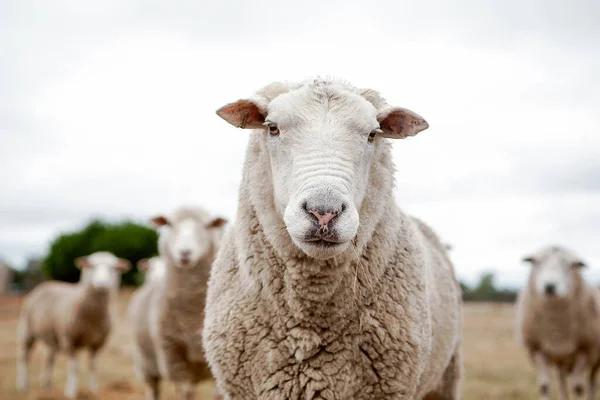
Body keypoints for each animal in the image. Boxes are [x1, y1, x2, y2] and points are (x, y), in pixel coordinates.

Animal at [15, 252, 130, 398]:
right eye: (90, 266)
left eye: (114, 268)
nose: (102, 283)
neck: (92, 319)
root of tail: (45, 284)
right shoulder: (69, 340)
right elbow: (74, 368)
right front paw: (71, 392)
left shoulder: (97, 343)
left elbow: (93, 366)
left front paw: (93, 390)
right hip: (27, 331)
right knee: (24, 358)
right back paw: (22, 385)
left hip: (52, 337)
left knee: (49, 359)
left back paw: (47, 385)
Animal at [127, 206, 229, 400]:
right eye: (169, 224)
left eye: (207, 225)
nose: (185, 253)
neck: (192, 312)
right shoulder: (172, 353)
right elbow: (185, 391)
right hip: (145, 363)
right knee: (153, 389)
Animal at [516, 244, 600, 400]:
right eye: (537, 262)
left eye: (570, 265)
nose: (550, 286)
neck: (557, 329)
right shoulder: (536, 350)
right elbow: (544, 386)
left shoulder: (585, 350)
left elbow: (578, 388)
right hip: (561, 361)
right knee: (562, 384)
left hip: (594, 360)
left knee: (591, 383)